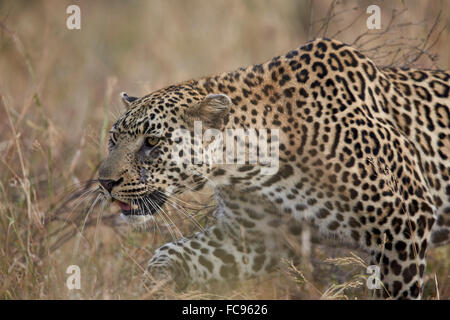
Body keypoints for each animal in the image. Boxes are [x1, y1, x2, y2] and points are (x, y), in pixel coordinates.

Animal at [97, 38, 450, 298]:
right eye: (113, 139)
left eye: (152, 142)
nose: (104, 182)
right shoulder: (248, 239)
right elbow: (167, 253)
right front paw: (156, 284)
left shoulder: (404, 222)